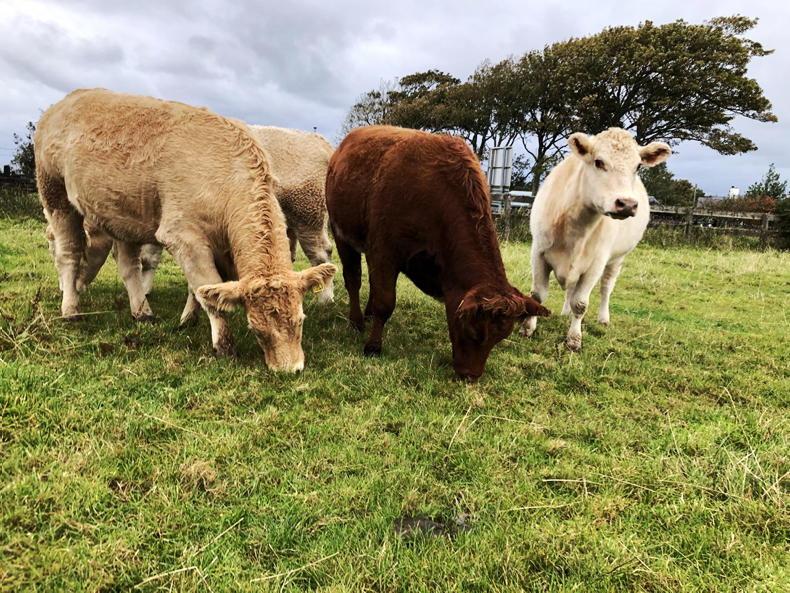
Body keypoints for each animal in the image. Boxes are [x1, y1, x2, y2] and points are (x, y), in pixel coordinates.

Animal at [35, 89, 335, 371]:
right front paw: (221, 342)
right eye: (256, 330)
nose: (291, 369)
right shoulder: (183, 237)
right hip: (55, 195)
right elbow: (206, 288)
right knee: (71, 253)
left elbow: (200, 287)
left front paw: (188, 318)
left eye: (300, 321)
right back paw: (71, 307)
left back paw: (138, 309)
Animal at [326, 126, 549, 381]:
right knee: (353, 279)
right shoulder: (384, 253)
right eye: (474, 330)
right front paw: (373, 346)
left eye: (499, 338)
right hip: (342, 235)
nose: (471, 376)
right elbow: (385, 302)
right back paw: (356, 321)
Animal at [521, 127, 670, 351]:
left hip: (617, 259)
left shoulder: (596, 264)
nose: (627, 204)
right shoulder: (538, 252)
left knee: (606, 287)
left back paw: (603, 319)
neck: (574, 227)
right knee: (571, 288)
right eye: (599, 162)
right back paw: (565, 312)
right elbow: (538, 295)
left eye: (638, 166)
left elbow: (580, 303)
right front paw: (527, 329)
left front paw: (574, 339)